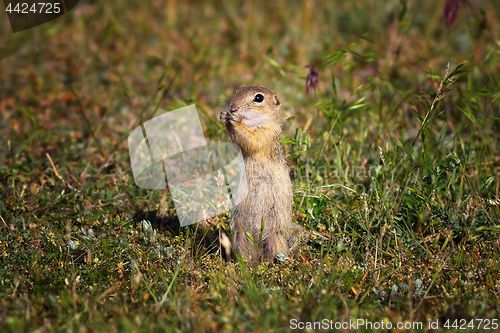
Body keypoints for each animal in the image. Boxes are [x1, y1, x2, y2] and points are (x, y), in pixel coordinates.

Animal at [220, 86, 296, 262]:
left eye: (259, 98)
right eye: (237, 91)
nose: (232, 107)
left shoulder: (267, 133)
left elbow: (253, 139)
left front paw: (235, 121)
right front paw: (223, 116)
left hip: (273, 238)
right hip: (239, 237)